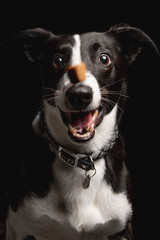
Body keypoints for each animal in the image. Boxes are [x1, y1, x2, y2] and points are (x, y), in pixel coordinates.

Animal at [3, 23, 159, 240]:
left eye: (104, 58)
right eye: (57, 60)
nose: (79, 95)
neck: (82, 157)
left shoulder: (120, 229)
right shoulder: (20, 227)